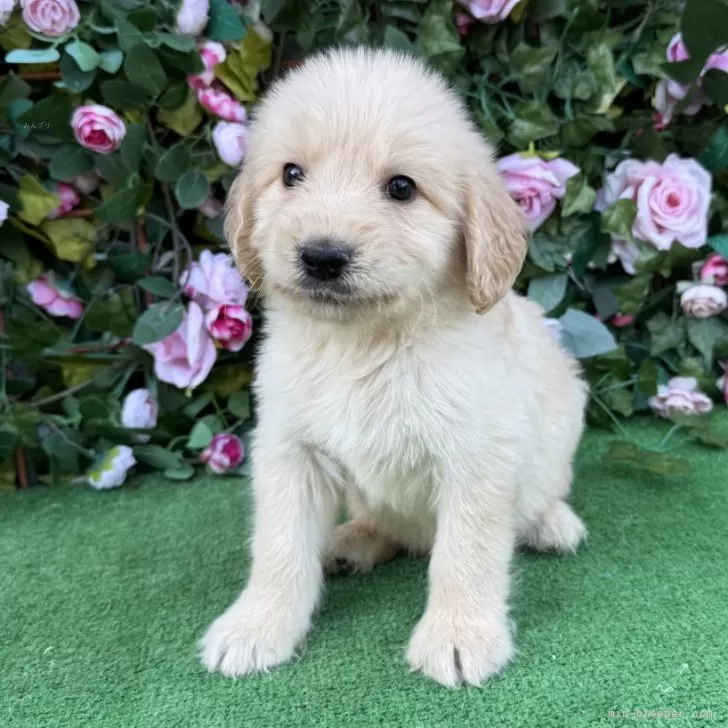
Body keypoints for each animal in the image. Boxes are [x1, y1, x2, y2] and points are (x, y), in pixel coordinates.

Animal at [202, 47, 588, 688]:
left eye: (402, 188)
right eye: (291, 174)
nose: (322, 256)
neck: (363, 342)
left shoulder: (477, 456)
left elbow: (467, 553)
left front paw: (459, 637)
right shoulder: (289, 448)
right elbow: (279, 546)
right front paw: (255, 627)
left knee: (539, 495)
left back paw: (552, 525)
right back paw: (353, 541)